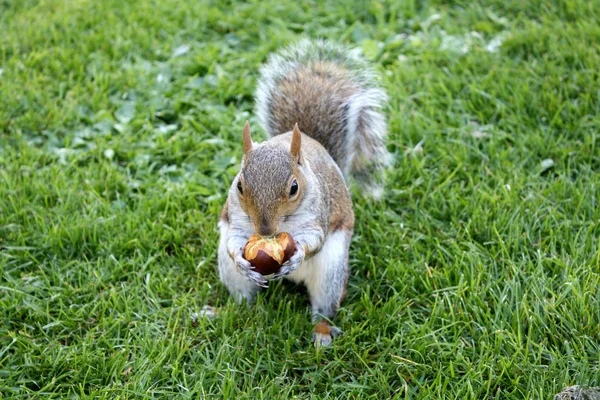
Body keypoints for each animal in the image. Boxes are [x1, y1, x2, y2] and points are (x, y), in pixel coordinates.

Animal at [217, 39, 390, 346]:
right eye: (239, 186)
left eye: (294, 188)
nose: (264, 230)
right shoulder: (236, 218)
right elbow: (234, 241)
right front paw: (241, 259)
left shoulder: (317, 214)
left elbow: (314, 240)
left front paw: (297, 254)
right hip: (231, 276)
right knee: (242, 299)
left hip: (331, 272)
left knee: (324, 308)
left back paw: (321, 333)